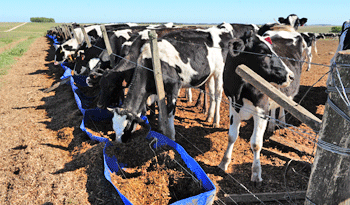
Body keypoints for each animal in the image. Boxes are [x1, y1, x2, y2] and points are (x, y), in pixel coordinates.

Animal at [220, 27, 304, 183]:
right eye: (263, 52)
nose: (291, 76)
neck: (240, 92)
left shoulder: (261, 110)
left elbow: (256, 143)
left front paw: (256, 173)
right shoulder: (233, 106)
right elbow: (231, 136)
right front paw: (224, 163)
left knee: (281, 105)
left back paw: (281, 123)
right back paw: (271, 126)